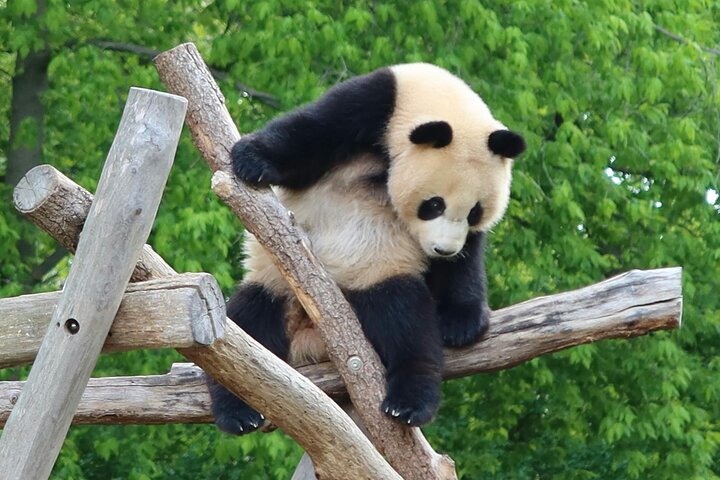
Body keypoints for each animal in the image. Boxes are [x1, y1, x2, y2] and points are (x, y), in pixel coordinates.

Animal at [209, 63, 526, 435]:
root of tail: (312, 341)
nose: (442, 249)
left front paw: (461, 322)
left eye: (475, 211)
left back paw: (408, 402)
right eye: (434, 204)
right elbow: (310, 136)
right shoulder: (373, 102)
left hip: (377, 274)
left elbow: (465, 263)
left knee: (404, 319)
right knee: (248, 323)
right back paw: (238, 411)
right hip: (276, 282)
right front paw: (251, 159)